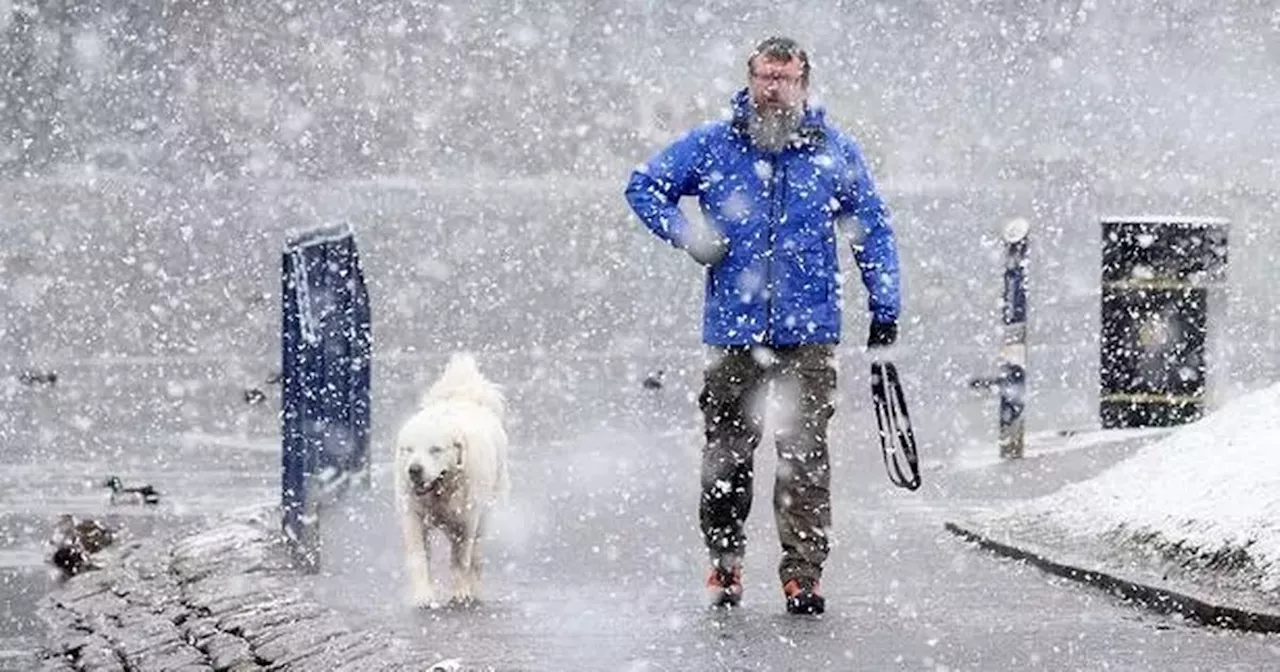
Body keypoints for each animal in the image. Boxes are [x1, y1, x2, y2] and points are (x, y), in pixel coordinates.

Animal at [394, 350, 509, 606]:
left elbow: (460, 560)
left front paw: (461, 592)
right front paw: (423, 595)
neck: (441, 491)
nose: (414, 470)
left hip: (484, 513)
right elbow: (419, 558)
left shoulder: (466, 522)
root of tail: (463, 395)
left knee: (476, 555)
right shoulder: (412, 517)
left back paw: (474, 587)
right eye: (408, 449)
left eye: (435, 449)